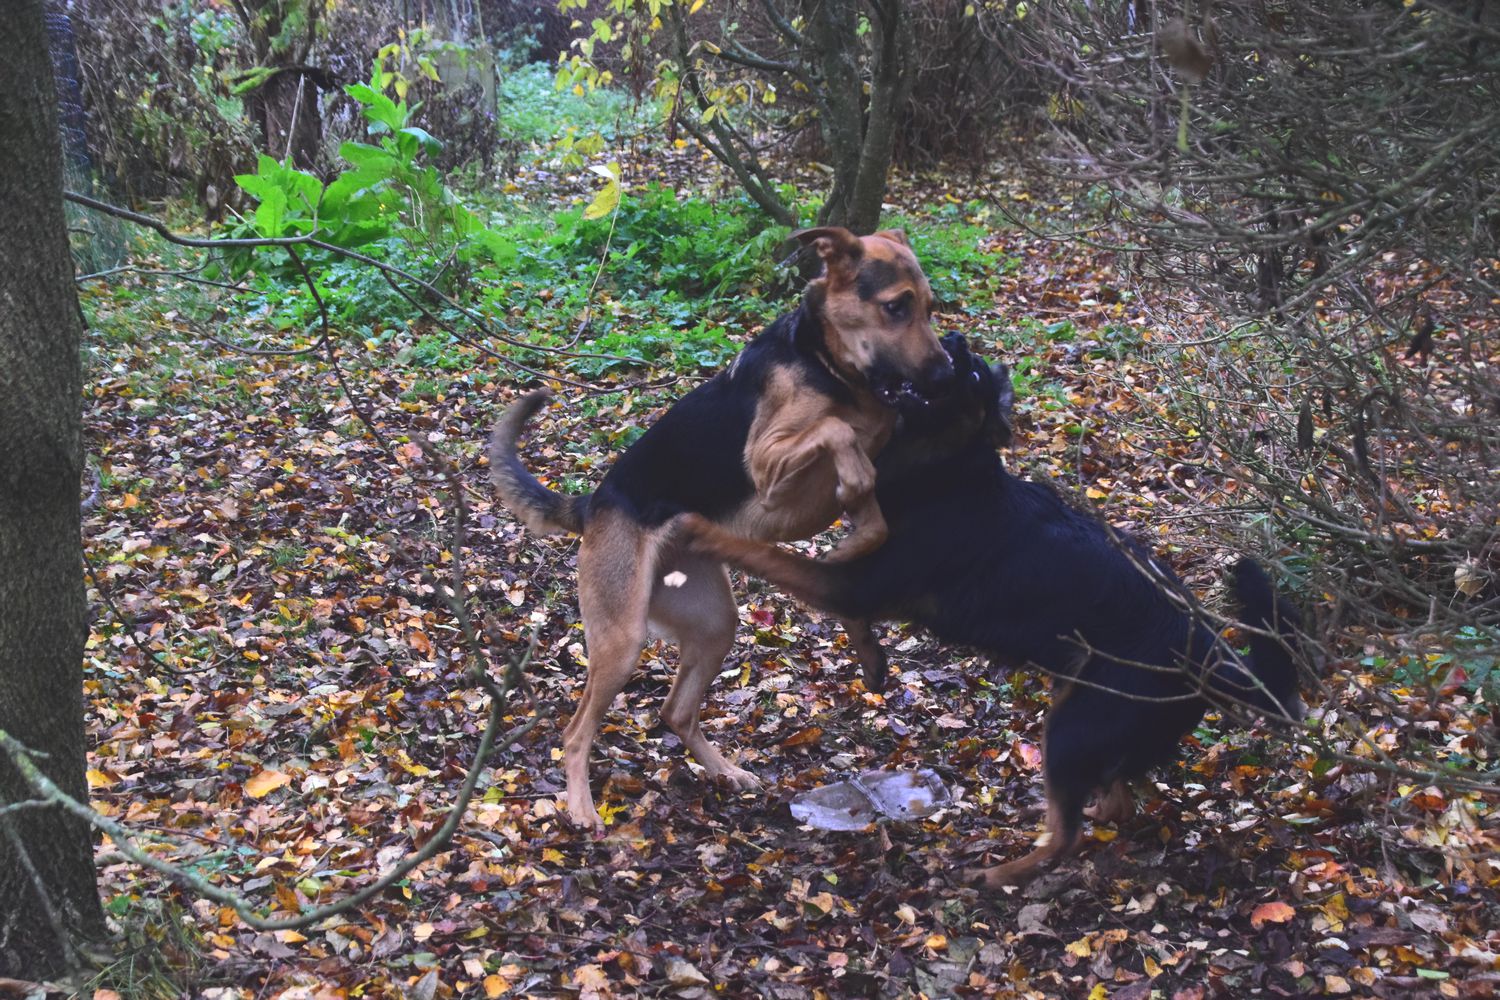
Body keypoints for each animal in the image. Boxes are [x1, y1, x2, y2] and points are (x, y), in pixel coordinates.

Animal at [490, 227, 955, 830]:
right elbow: (838, 437)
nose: (947, 375)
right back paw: (583, 809)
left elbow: (869, 526)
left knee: (675, 711)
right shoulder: (769, 461)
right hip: (622, 639)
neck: (828, 364)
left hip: (713, 623)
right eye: (896, 307)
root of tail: (593, 504)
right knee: (576, 732)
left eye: (929, 308)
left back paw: (726, 771)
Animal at [674, 335, 1306, 885]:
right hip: (1080, 704)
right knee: (1115, 797)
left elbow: (764, 552)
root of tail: (1209, 654)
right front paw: (873, 661)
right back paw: (1086, 816)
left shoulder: (850, 583)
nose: (952, 340)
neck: (946, 468)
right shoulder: (854, 577)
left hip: (1074, 726)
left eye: (973, 376)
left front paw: (696, 527)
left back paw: (1000, 874)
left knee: (1066, 835)